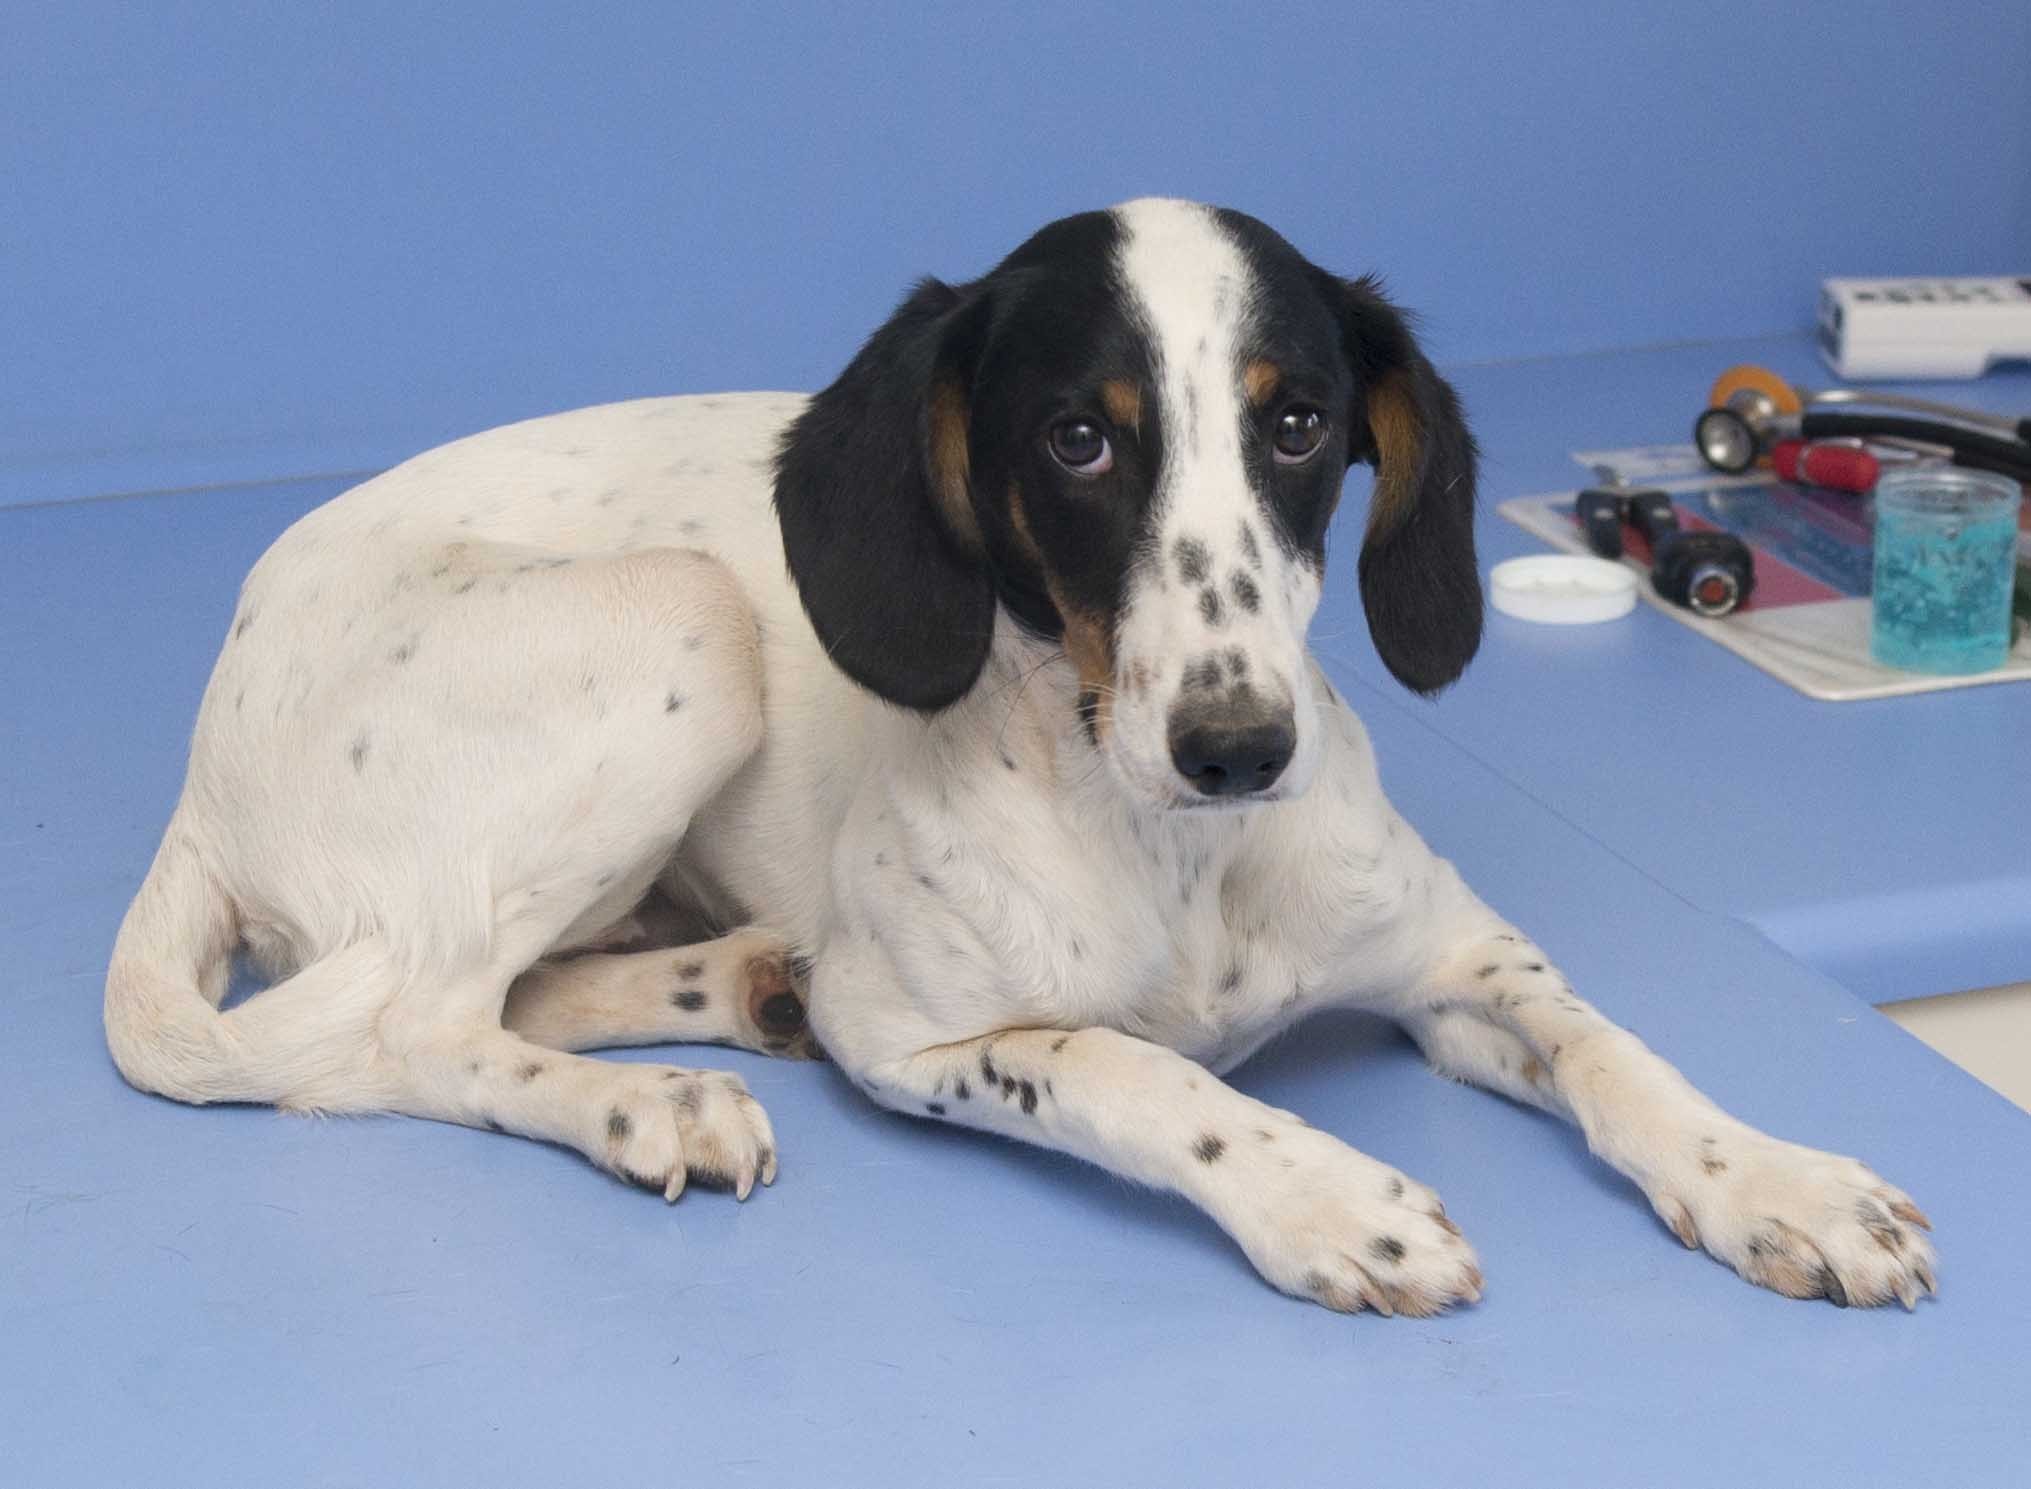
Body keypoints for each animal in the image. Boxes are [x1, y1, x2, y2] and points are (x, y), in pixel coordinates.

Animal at [106, 198, 1934, 1313]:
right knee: (398, 1028)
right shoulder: (914, 1036)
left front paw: (1774, 1176)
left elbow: (1619, 1051)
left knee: (513, 988)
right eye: (1076, 439)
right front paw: (1323, 1193)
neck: (1182, 861)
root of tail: (200, 749)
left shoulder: (1462, 962)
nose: (1237, 745)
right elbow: (1133, 1070)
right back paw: (648, 1103)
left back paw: (725, 991)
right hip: (684, 625)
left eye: (1297, 423)